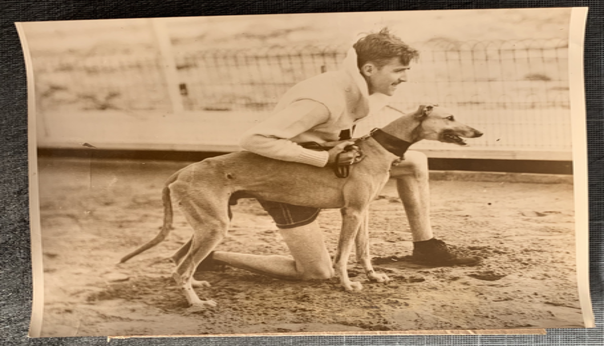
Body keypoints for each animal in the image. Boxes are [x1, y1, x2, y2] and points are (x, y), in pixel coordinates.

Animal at [120, 104, 484, 310]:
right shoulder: (351, 212)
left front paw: (373, 276)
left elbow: (364, 251)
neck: (374, 148)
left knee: (178, 260)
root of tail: (182, 171)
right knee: (181, 268)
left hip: (211, 224)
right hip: (213, 227)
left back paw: (196, 286)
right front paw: (347, 285)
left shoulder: (363, 211)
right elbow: (342, 256)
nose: (479, 131)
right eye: (450, 116)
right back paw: (197, 305)